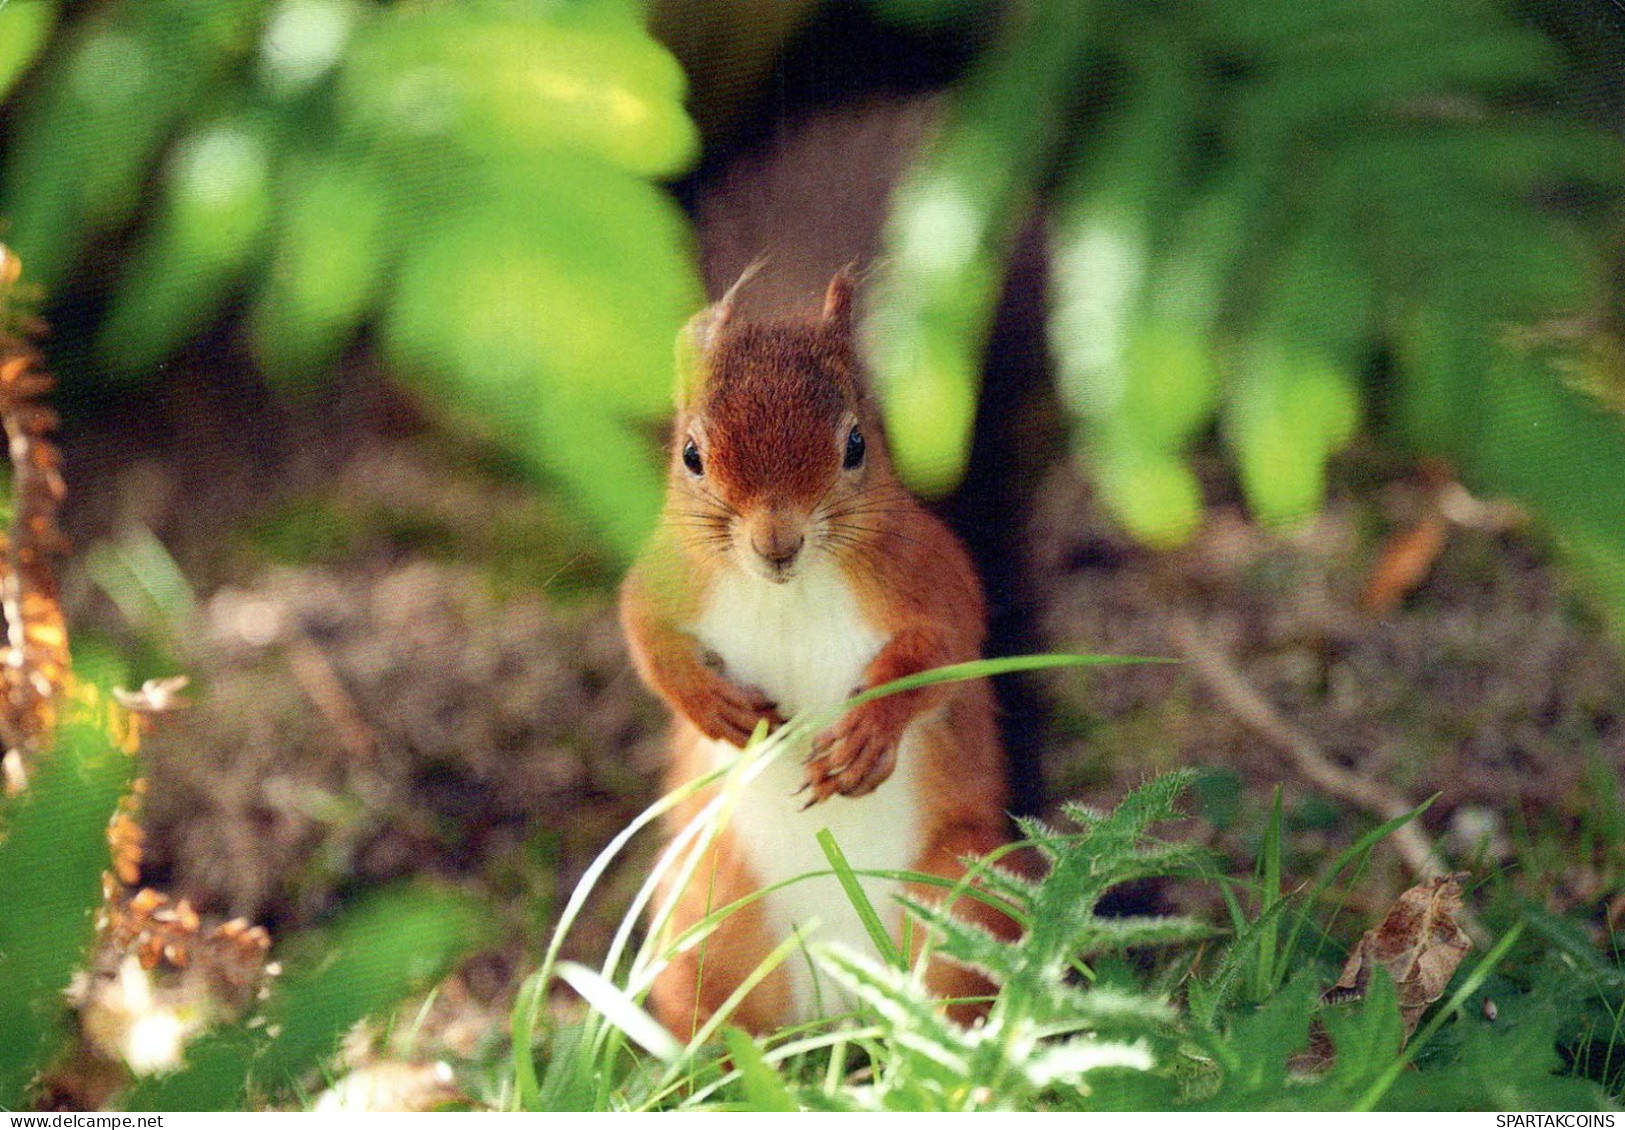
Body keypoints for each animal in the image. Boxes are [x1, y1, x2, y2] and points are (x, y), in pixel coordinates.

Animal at [620, 269, 1014, 1040]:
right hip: (706, 915)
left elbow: (943, 658)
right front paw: (713, 707)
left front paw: (864, 738)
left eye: (856, 444)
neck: (786, 592)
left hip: (961, 893)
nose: (777, 542)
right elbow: (645, 639)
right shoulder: (665, 579)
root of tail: (837, 1000)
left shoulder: (933, 578)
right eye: (691, 455)